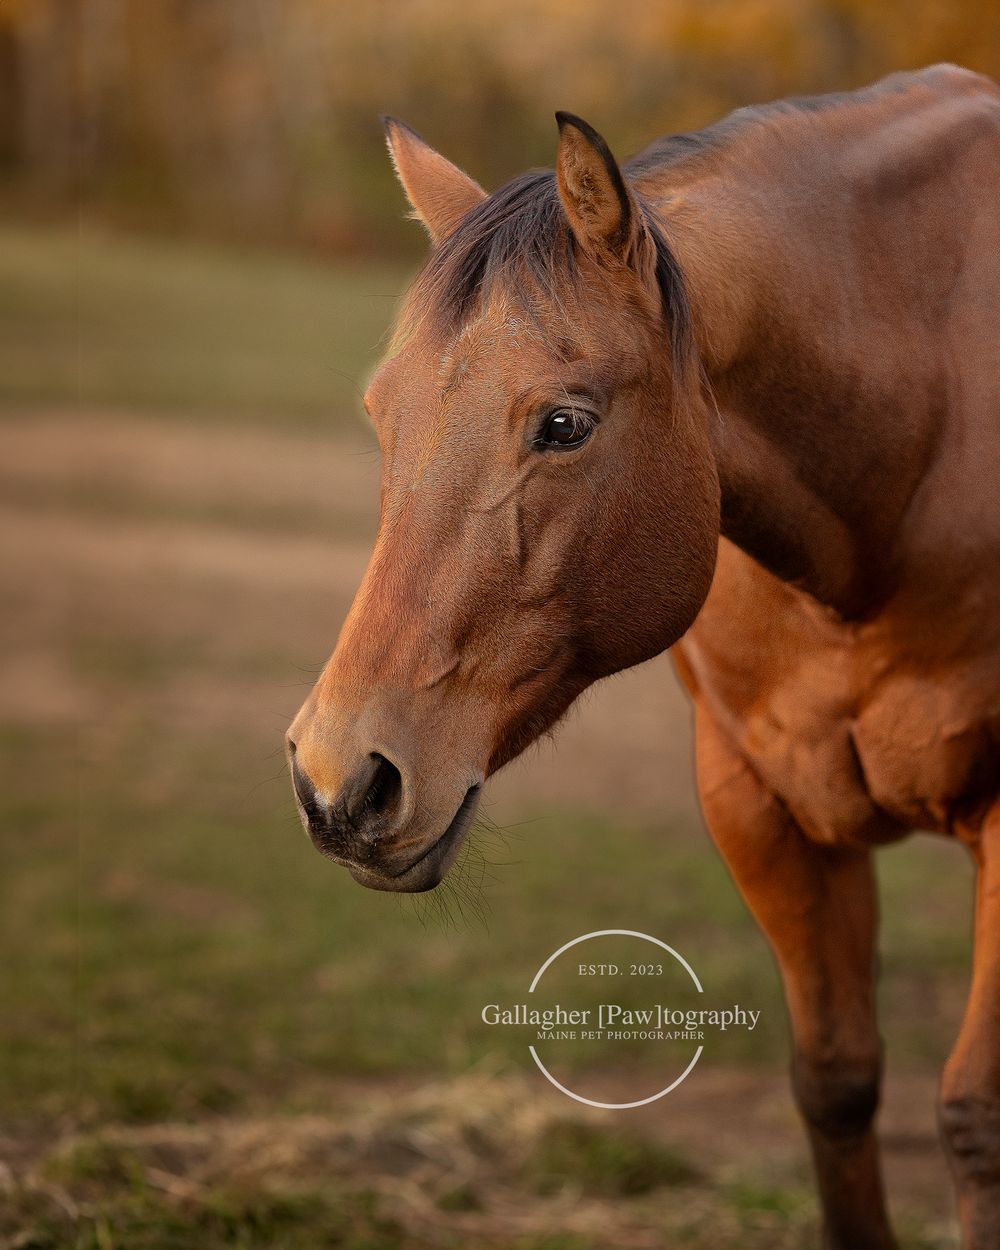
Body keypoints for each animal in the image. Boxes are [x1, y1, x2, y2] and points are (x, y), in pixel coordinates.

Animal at [287, 65, 1000, 1248]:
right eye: (382, 413)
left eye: (564, 424)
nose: (340, 781)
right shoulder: (759, 802)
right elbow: (837, 1082)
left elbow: (973, 1113)